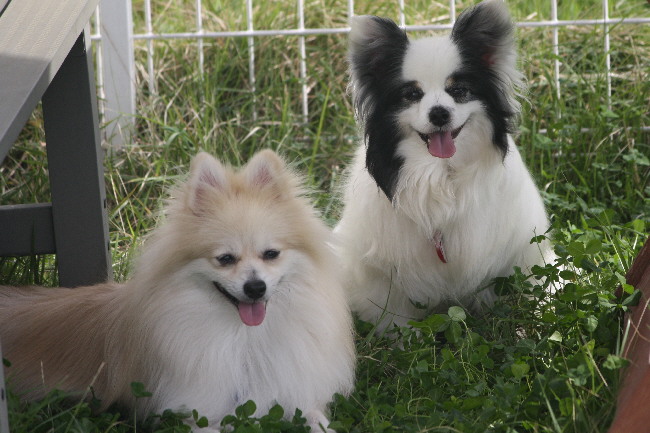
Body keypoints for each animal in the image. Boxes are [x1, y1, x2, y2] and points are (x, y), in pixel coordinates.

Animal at [0, 150, 355, 432]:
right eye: (225, 259)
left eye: (271, 254)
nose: (255, 287)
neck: (245, 340)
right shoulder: (191, 410)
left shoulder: (296, 396)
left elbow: (316, 418)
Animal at [335, 0, 554, 331]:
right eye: (412, 94)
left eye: (459, 91)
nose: (439, 113)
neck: (443, 173)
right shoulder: (382, 276)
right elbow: (395, 319)